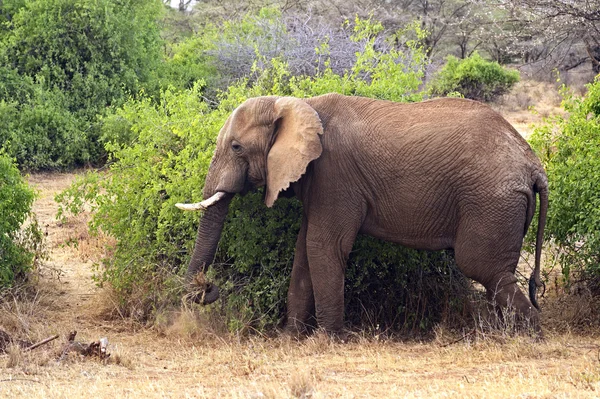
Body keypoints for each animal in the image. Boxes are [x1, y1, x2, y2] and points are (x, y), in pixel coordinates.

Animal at [175, 94, 548, 338]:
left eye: (236, 147)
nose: (208, 289)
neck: (296, 104)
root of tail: (533, 164)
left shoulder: (335, 175)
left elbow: (323, 246)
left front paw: (328, 340)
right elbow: (304, 252)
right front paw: (290, 338)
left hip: (490, 200)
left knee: (484, 268)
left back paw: (528, 335)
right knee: (495, 276)